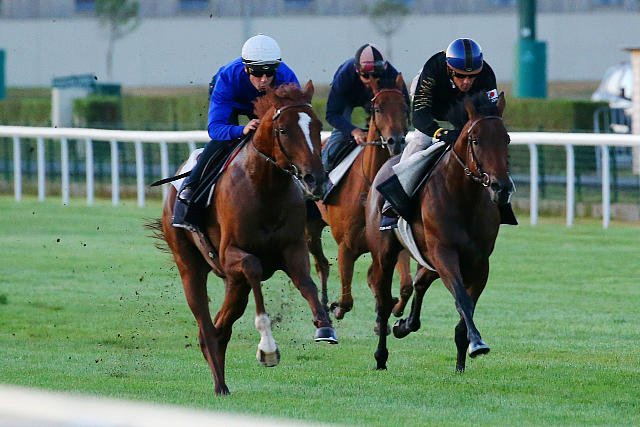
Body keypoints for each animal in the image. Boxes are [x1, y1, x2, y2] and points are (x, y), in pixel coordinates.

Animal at [159, 81, 337, 395]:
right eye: (283, 130)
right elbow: (254, 267)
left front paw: (325, 326)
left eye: (316, 126)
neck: (265, 186)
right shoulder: (231, 255)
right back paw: (219, 383)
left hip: (234, 284)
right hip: (189, 265)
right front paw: (267, 348)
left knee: (220, 328)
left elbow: (307, 283)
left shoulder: (293, 248)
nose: (316, 179)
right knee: (205, 323)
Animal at [307, 74, 414, 320]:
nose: (396, 141)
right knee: (321, 265)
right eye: (378, 108)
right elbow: (346, 301)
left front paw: (393, 307)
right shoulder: (346, 247)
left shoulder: (393, 243)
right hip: (310, 228)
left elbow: (404, 286)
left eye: (405, 107)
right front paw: (336, 307)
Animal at [365, 91, 512, 372]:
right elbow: (462, 299)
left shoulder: (479, 262)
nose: (501, 187)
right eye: (475, 140)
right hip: (385, 253)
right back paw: (380, 356)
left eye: (506, 139)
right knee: (384, 301)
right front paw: (478, 344)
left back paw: (405, 326)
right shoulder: (444, 253)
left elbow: (466, 306)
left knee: (420, 282)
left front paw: (461, 362)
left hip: (428, 257)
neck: (463, 198)